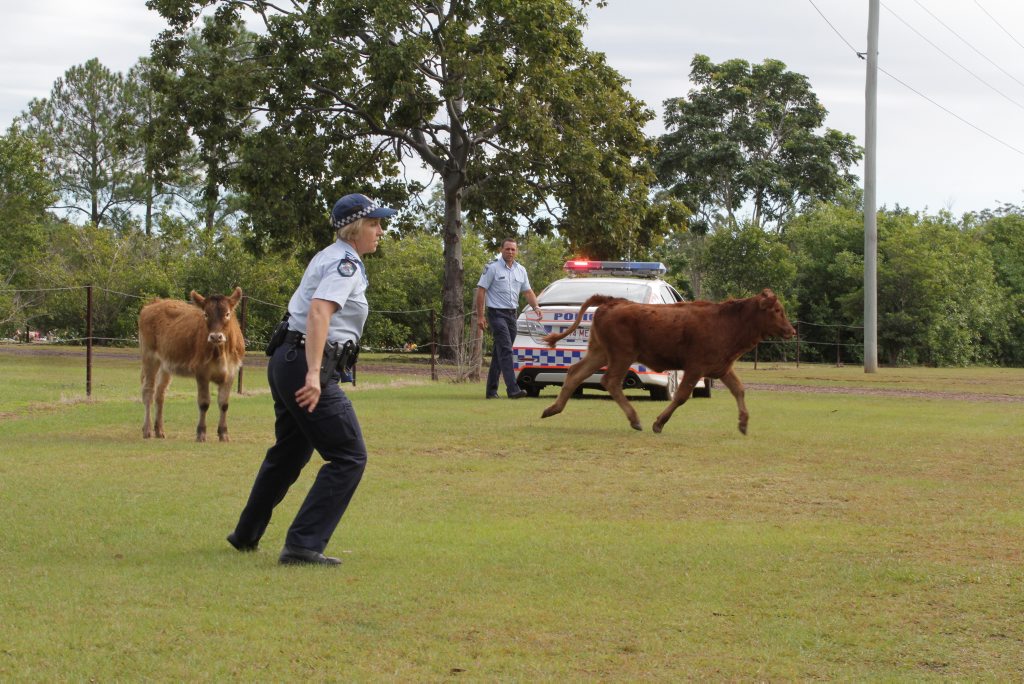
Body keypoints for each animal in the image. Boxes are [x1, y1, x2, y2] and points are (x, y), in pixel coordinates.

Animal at [139, 287, 245, 442]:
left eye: (227, 314)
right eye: (206, 314)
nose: (216, 336)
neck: (221, 352)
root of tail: (155, 303)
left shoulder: (231, 372)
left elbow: (224, 404)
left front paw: (223, 433)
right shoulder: (201, 371)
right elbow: (204, 403)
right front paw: (201, 433)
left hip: (166, 364)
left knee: (160, 393)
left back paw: (159, 430)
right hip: (149, 356)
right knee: (148, 391)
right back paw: (147, 430)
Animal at [539, 289, 796, 435]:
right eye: (776, 310)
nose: (791, 330)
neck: (728, 321)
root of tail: (613, 302)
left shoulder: (722, 368)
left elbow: (739, 390)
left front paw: (743, 423)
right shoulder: (695, 368)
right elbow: (681, 396)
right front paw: (659, 423)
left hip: (599, 352)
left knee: (575, 372)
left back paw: (552, 409)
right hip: (622, 355)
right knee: (610, 381)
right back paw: (635, 420)